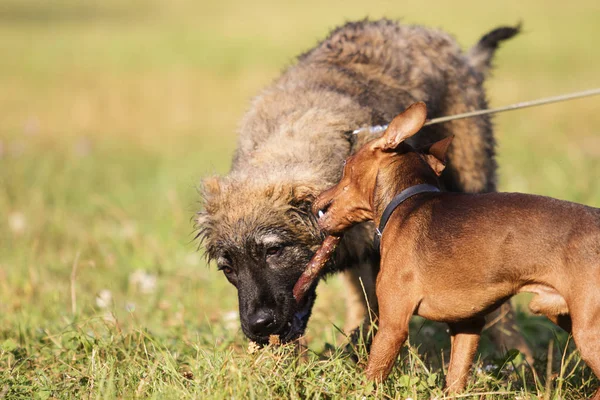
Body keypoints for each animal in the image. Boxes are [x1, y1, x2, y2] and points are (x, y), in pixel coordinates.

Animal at [314, 101, 600, 396]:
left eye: (345, 166)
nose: (317, 198)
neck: (405, 203)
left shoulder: (393, 324)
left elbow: (372, 377)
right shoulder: (467, 325)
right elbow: (455, 379)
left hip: (588, 330)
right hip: (561, 313)